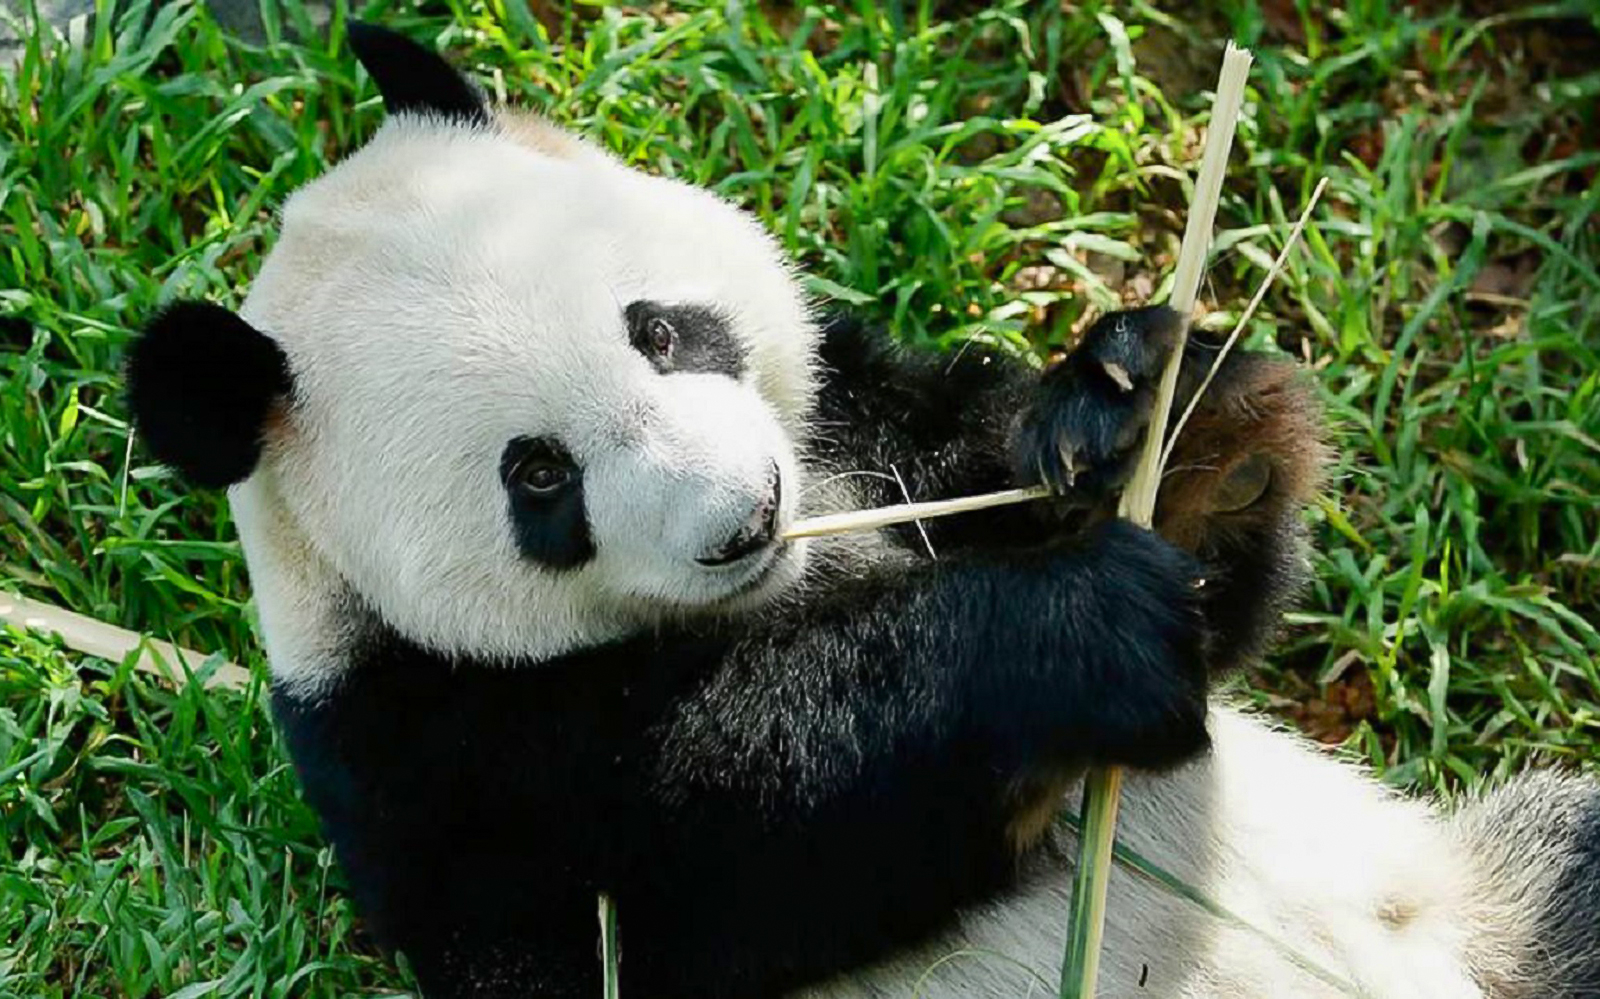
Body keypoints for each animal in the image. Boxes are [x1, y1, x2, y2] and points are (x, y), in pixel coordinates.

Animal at [124, 23, 1599, 999]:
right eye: (536, 478)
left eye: (661, 330)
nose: (746, 511)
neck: (794, 577)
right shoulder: (422, 750)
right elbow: (707, 873)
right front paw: (1072, 634)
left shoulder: (868, 429)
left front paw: (1163, 426)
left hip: (1482, 893)